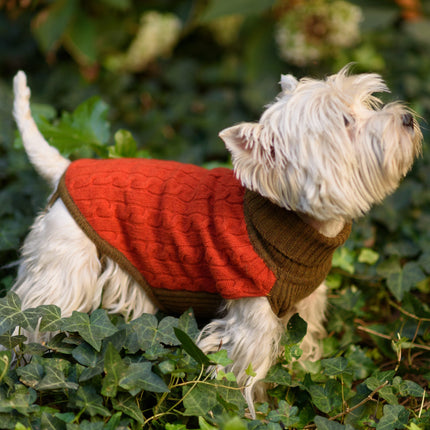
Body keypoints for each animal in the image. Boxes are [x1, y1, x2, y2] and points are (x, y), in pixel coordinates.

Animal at [10, 68, 424, 416]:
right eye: (346, 121)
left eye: (367, 104)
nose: (408, 118)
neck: (296, 223)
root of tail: (67, 167)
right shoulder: (251, 317)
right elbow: (244, 374)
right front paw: (247, 413)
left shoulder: (305, 304)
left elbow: (303, 345)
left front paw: (308, 372)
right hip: (63, 273)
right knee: (31, 320)